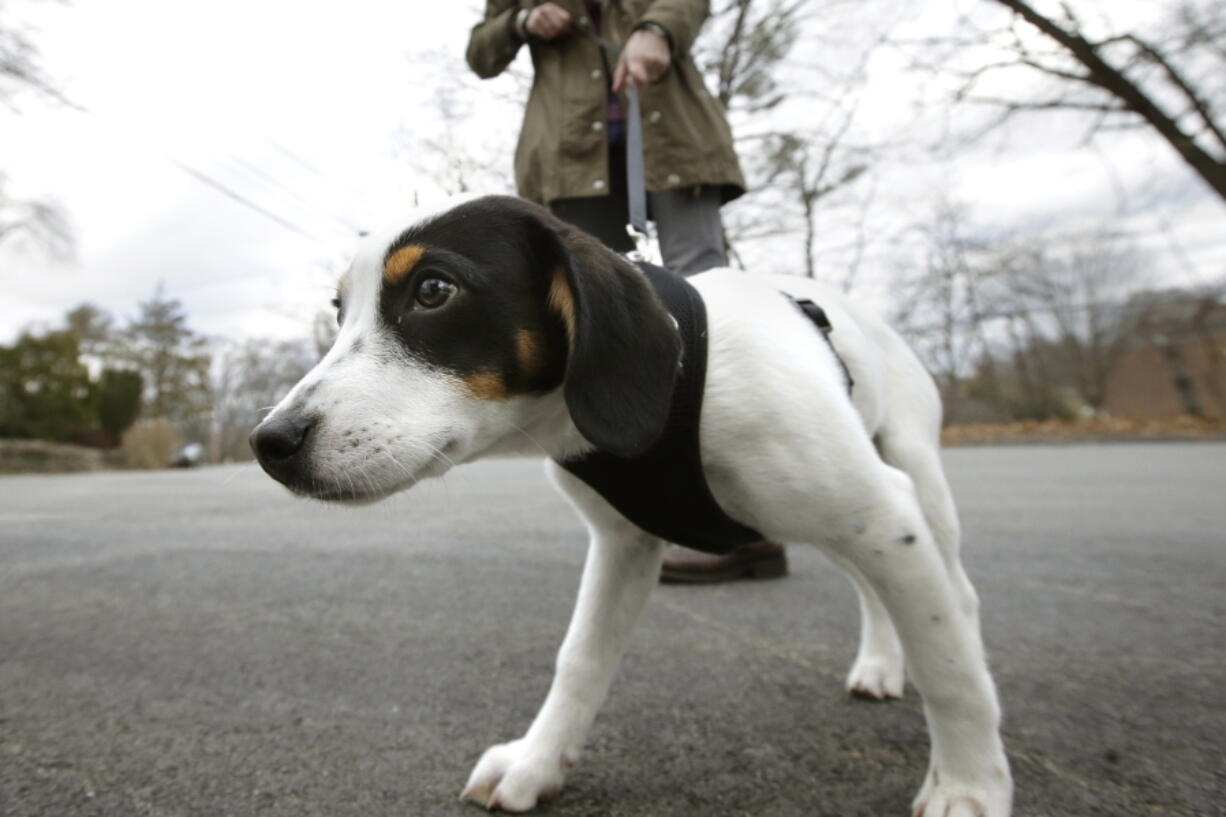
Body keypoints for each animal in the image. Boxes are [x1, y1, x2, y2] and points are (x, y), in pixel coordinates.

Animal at [251, 193, 1015, 809]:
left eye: (433, 290)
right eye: (339, 311)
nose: (269, 443)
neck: (678, 378)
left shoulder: (883, 512)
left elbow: (949, 672)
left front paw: (969, 787)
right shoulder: (625, 542)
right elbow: (580, 659)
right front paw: (537, 761)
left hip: (907, 480)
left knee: (959, 597)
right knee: (874, 588)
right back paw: (881, 662)